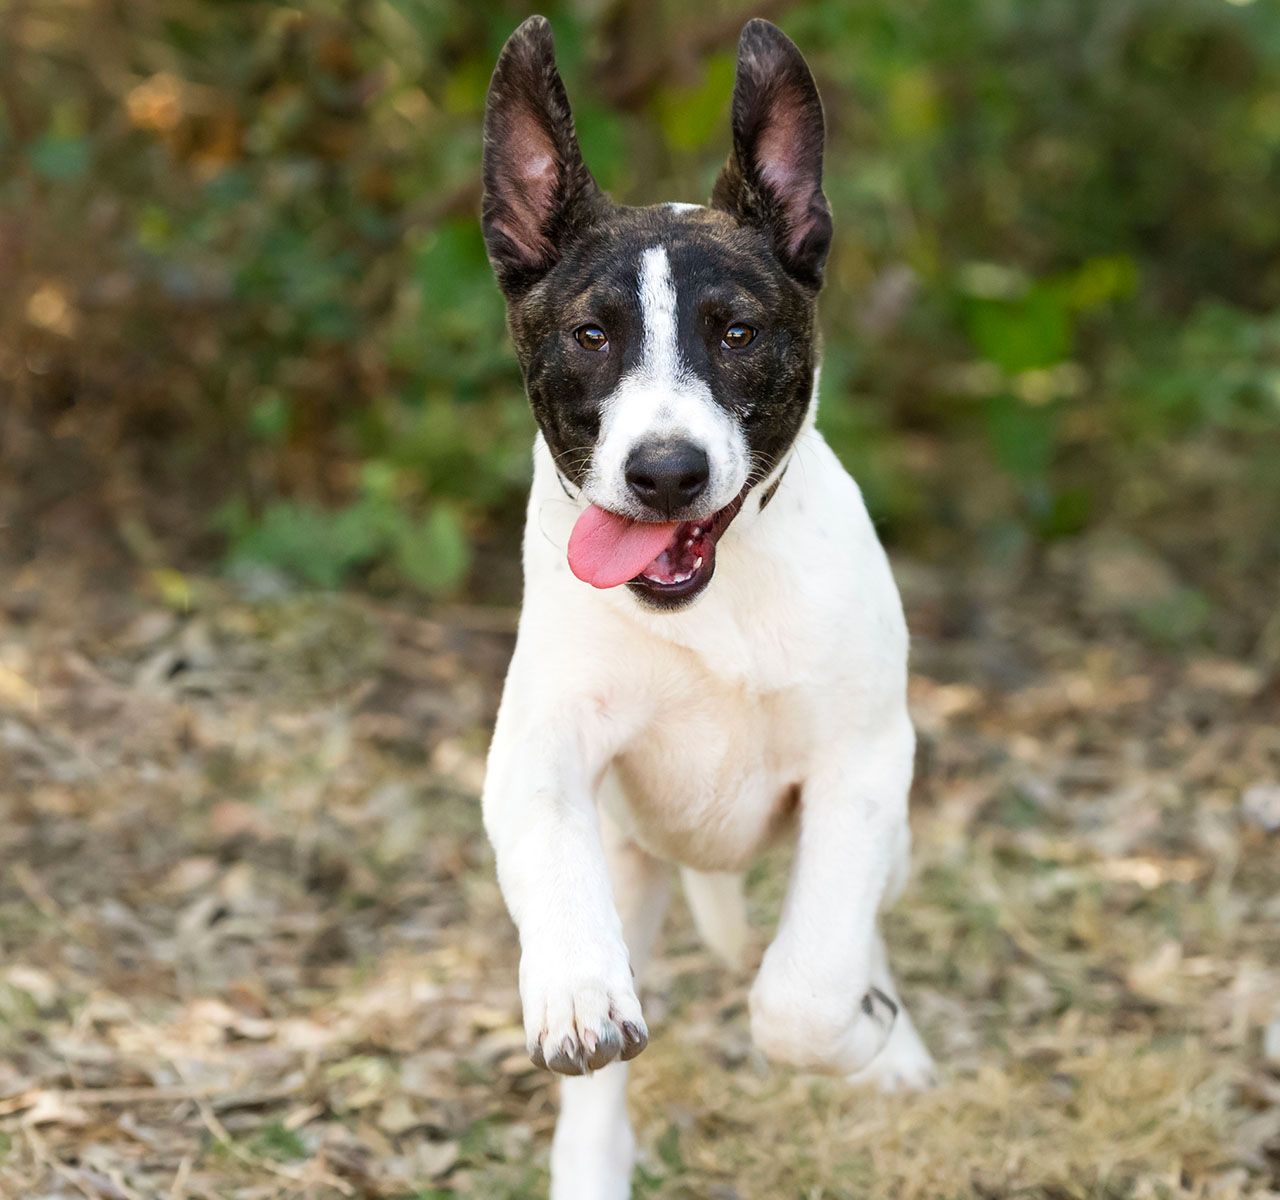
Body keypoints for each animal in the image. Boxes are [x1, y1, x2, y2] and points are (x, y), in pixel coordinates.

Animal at [481, 14, 942, 1192]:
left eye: (735, 333)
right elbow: (553, 869)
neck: (714, 603)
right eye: (591, 335)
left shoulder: (861, 767)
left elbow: (806, 991)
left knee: (850, 927)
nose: (664, 473)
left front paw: (861, 1038)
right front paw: (574, 995)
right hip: (634, 862)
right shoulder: (538, 754)